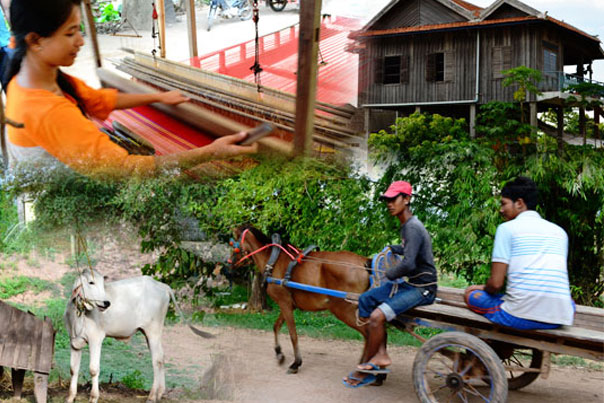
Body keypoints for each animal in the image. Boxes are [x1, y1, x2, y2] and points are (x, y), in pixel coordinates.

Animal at [65, 270, 211, 402]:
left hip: (153, 331)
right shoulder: (74, 343)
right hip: (150, 334)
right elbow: (73, 369)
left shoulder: (96, 339)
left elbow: (93, 369)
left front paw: (93, 397)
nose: (106, 303)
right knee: (162, 357)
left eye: (102, 283)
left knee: (157, 360)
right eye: (91, 282)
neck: (79, 315)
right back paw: (159, 393)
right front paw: (71, 397)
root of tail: (163, 286)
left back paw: (152, 396)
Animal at [231, 226, 372, 374]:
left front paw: (296, 363)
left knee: (369, 333)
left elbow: (293, 334)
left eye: (234, 243)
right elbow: (276, 326)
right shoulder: (288, 304)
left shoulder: (284, 303)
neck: (273, 260)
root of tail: (364, 262)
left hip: (344, 309)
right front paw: (279, 353)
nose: (229, 263)